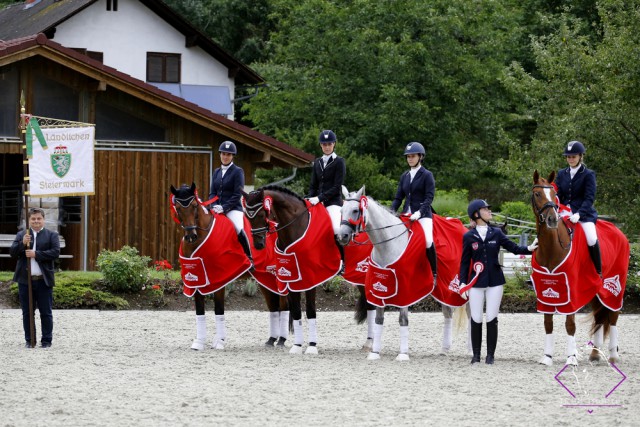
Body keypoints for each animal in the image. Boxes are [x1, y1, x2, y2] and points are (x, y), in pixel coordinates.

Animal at [171, 182, 288, 352]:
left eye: (194, 206)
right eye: (178, 208)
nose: (191, 236)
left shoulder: (221, 278)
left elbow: (219, 310)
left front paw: (220, 341)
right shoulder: (197, 279)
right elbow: (199, 310)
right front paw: (199, 342)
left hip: (279, 277)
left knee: (284, 305)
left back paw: (281, 340)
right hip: (264, 278)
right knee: (273, 307)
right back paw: (271, 340)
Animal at [242, 186, 342, 356]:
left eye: (262, 214)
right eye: (248, 218)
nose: (259, 245)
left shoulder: (310, 278)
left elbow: (310, 310)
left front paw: (312, 346)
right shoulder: (290, 278)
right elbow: (295, 311)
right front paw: (297, 346)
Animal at [338, 186, 468, 362]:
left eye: (355, 210)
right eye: (341, 211)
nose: (341, 236)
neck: (388, 244)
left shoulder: (406, 291)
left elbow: (403, 320)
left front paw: (403, 354)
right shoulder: (379, 289)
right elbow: (379, 319)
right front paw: (375, 352)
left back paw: (471, 351)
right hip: (442, 290)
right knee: (448, 313)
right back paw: (444, 349)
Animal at [528, 172, 632, 366]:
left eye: (554, 194)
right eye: (537, 194)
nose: (552, 220)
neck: (552, 247)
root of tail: (619, 231)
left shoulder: (572, 292)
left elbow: (570, 324)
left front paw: (571, 358)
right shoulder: (545, 291)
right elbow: (548, 323)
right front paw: (547, 357)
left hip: (615, 288)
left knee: (613, 316)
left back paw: (613, 355)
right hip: (596, 290)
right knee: (599, 318)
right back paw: (595, 354)